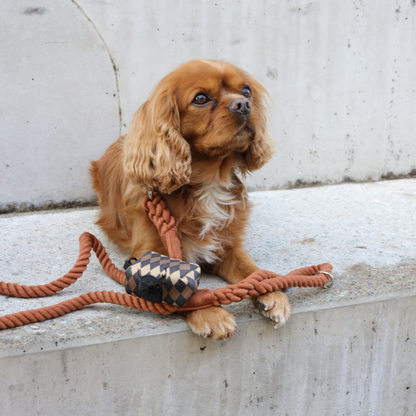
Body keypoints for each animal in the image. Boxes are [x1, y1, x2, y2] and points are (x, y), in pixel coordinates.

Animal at [91, 60, 290, 340]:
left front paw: (271, 289)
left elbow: (251, 269)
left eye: (247, 92)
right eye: (201, 98)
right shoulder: (149, 252)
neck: (209, 181)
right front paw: (210, 313)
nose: (243, 104)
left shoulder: (228, 246)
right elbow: (178, 288)